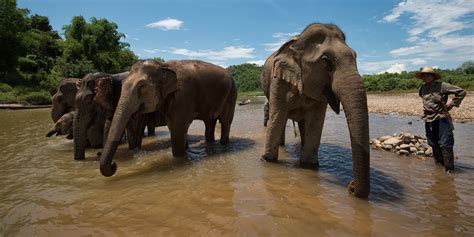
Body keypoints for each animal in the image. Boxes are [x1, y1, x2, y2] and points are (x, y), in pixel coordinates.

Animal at [98, 60, 237, 177]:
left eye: (142, 87)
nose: (114, 165)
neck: (163, 65)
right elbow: (176, 127)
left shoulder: (183, 94)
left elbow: (177, 128)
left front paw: (179, 160)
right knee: (210, 123)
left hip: (232, 93)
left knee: (225, 121)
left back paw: (224, 145)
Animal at [262, 23, 370, 198]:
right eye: (325, 61)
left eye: (355, 56)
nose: (351, 186)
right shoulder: (278, 80)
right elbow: (278, 116)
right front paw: (268, 161)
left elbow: (315, 122)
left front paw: (309, 166)